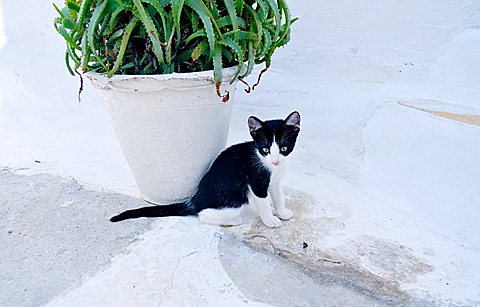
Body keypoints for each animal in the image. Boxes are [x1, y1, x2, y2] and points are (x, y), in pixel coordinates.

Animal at [110, 112, 302, 227]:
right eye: (265, 149)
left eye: (284, 148)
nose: (276, 160)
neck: (269, 166)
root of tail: (195, 199)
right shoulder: (256, 181)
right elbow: (262, 202)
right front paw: (270, 220)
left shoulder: (275, 180)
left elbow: (278, 196)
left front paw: (282, 212)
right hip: (234, 199)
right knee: (204, 215)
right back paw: (239, 218)